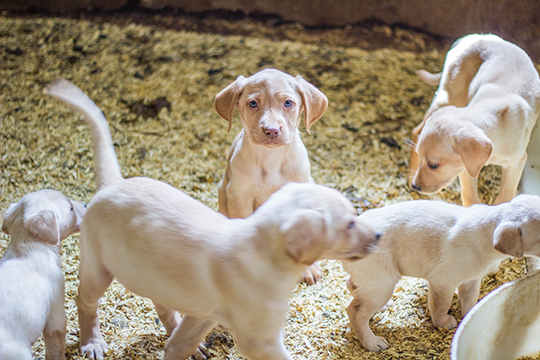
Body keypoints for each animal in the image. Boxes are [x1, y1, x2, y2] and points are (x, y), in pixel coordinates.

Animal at [215, 69, 330, 286]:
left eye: (288, 103)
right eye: (253, 104)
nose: (271, 130)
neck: (271, 159)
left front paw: (308, 268)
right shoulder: (239, 196)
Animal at [342, 194, 540, 352]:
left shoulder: (471, 280)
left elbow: (469, 301)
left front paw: (469, 317)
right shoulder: (442, 282)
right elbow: (441, 305)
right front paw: (443, 323)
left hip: (373, 281)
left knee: (352, 286)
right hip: (383, 282)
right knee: (355, 311)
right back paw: (372, 342)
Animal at [410, 34, 540, 208]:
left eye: (434, 165)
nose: (415, 186)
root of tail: (474, 37)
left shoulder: (516, 163)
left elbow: (504, 197)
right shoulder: (467, 168)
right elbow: (470, 197)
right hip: (449, 96)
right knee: (416, 131)